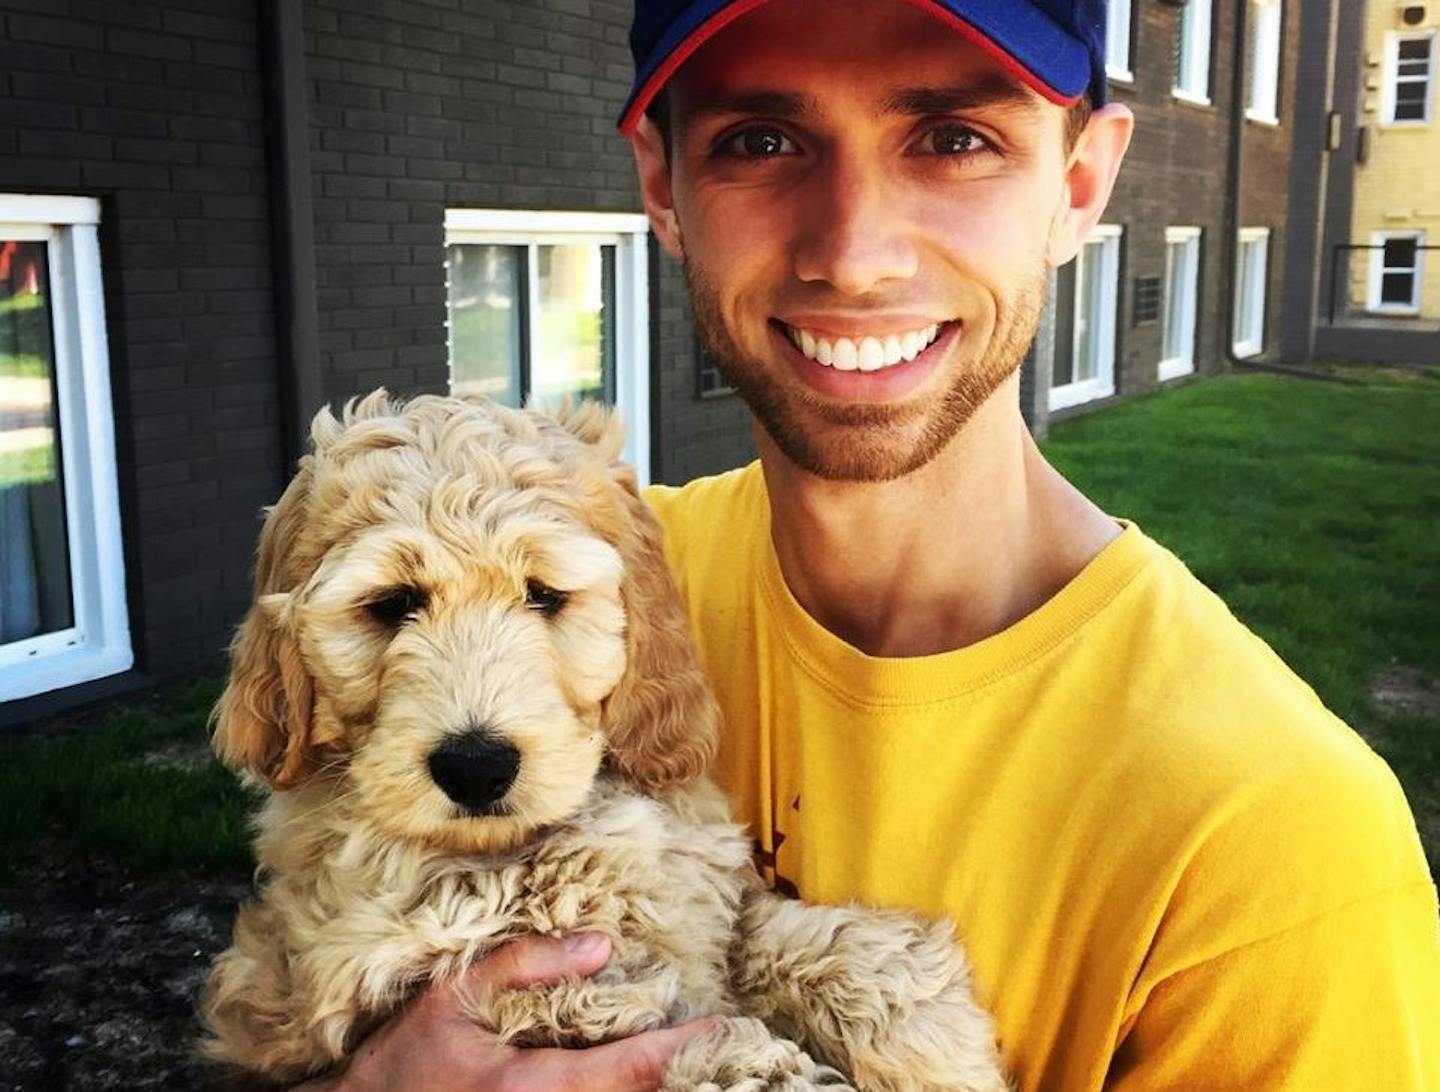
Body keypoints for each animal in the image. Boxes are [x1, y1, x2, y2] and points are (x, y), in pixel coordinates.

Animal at [200, 394, 1013, 1092]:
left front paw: (932, 1032)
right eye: (393, 605)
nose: (476, 766)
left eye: (542, 595)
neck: (540, 844)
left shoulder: (702, 897)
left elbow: (791, 936)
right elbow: (707, 1038)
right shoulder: (518, 985)